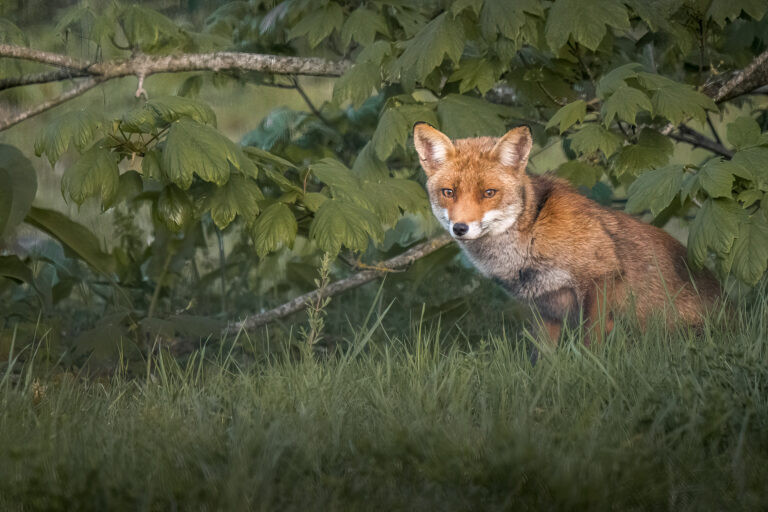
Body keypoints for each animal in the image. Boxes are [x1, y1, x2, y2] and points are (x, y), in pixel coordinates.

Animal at [413, 123, 721, 343]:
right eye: (448, 193)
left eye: (488, 193)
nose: (460, 228)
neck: (531, 235)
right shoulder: (545, 306)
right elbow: (542, 359)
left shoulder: (599, 278)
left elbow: (591, 344)